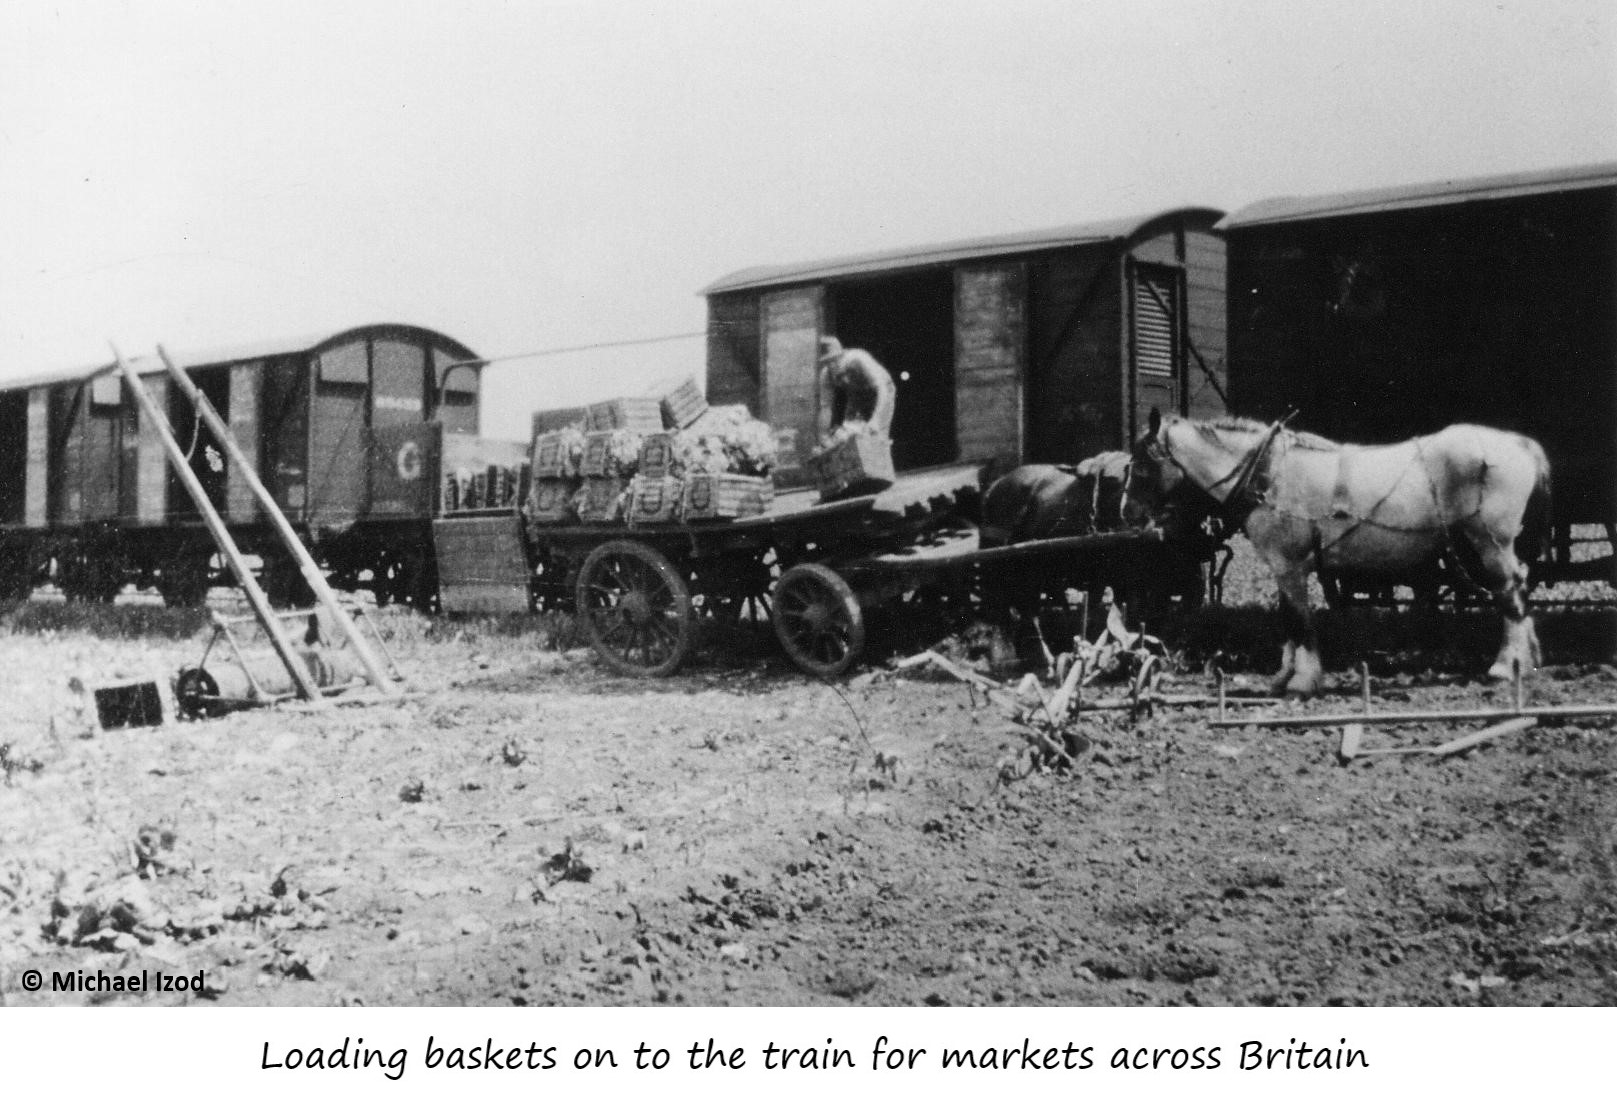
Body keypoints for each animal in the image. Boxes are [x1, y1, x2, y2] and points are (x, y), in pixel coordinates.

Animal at [1125, 410, 1552, 695]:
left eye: (1142, 465)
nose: (1126, 512)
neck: (1268, 474)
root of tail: (1520, 445)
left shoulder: (1290, 564)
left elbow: (1300, 621)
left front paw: (1302, 680)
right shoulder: (1284, 566)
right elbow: (1288, 619)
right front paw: (1283, 677)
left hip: (1490, 542)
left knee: (1510, 594)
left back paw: (1505, 666)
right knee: (1519, 587)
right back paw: (1528, 659)